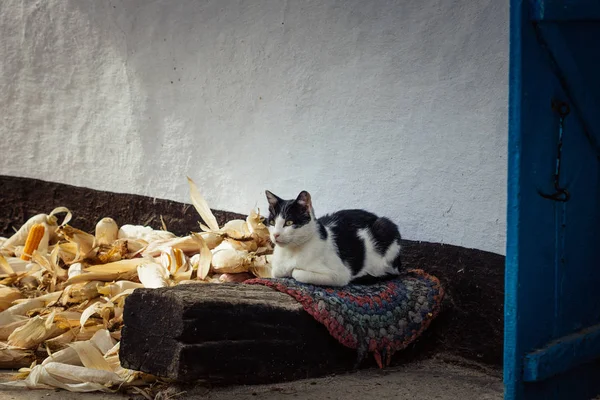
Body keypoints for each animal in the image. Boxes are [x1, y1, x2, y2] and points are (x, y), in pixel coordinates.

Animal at [266, 190, 404, 286]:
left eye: (289, 222)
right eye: (272, 222)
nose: (275, 234)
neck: (291, 252)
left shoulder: (340, 275)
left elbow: (297, 272)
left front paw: (292, 272)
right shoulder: (276, 270)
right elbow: (277, 272)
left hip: (385, 228)